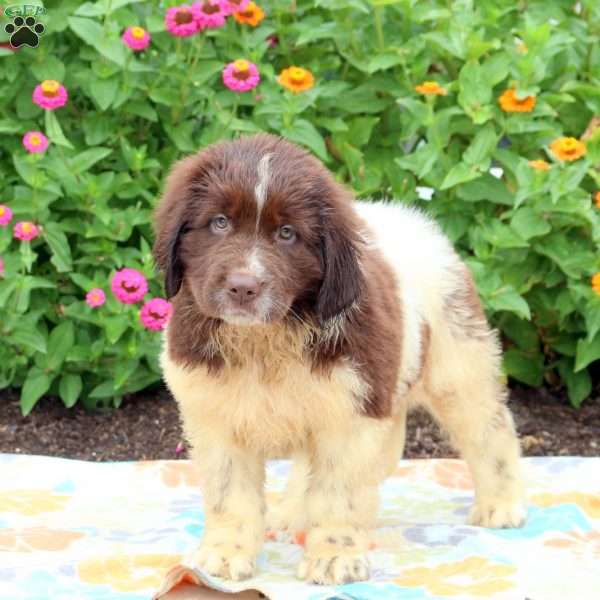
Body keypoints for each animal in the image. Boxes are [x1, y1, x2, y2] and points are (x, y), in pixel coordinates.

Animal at [154, 134, 524, 584]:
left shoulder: (352, 417)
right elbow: (231, 495)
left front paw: (335, 556)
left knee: (489, 431)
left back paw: (500, 504)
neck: (266, 337)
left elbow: (337, 495)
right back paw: (291, 515)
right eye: (220, 223)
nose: (243, 287)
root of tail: (413, 221)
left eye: (287, 233)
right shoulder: (217, 419)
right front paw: (226, 553)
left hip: (457, 364)